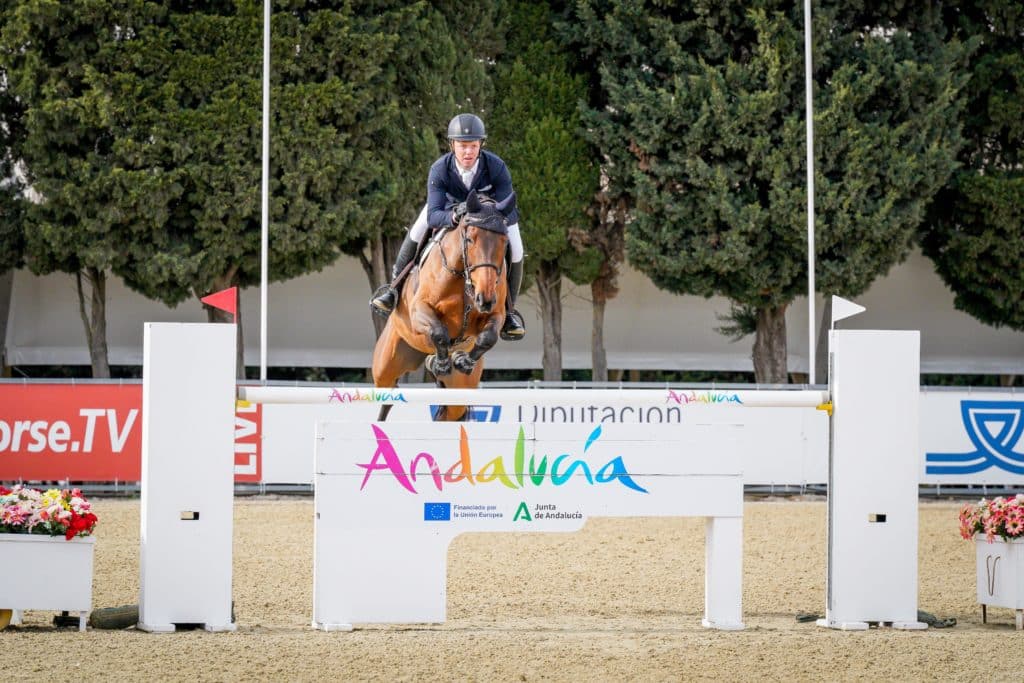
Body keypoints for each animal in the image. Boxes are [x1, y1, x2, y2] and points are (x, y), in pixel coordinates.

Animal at [372, 188, 516, 421]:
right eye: (469, 239)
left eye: (504, 242)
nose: (484, 298)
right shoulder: (419, 310)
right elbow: (439, 332)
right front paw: (440, 363)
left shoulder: (496, 314)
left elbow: (488, 337)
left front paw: (462, 361)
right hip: (386, 366)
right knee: (387, 396)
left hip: (460, 389)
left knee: (449, 413)